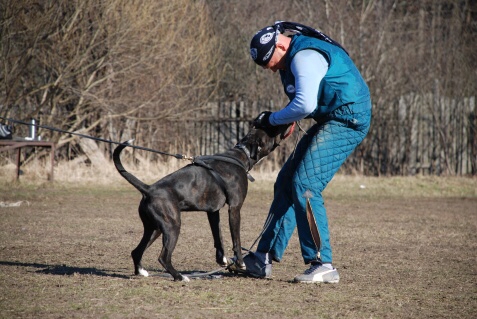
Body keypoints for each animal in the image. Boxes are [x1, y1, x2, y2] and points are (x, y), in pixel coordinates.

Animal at [113, 124, 292, 282]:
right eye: (271, 131)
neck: (241, 154)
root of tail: (148, 189)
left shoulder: (213, 212)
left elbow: (218, 236)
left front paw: (222, 260)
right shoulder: (234, 209)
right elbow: (236, 239)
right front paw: (240, 263)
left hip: (154, 229)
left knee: (136, 251)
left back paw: (142, 271)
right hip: (172, 226)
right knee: (163, 257)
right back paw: (180, 277)